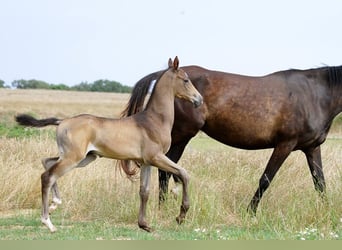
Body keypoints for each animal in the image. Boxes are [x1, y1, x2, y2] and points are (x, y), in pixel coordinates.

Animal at [15, 56, 203, 232]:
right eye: (186, 80)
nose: (199, 99)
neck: (154, 120)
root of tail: (62, 121)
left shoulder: (145, 162)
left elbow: (144, 191)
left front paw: (144, 225)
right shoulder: (156, 157)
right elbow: (184, 174)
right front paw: (181, 215)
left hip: (82, 158)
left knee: (47, 162)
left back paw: (55, 203)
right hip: (73, 158)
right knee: (48, 175)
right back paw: (48, 222)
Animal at [121, 64, 342, 215]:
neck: (315, 95)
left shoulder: (312, 148)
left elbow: (320, 182)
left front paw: (327, 211)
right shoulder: (285, 145)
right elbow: (265, 179)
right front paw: (250, 212)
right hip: (181, 136)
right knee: (165, 170)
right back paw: (164, 207)